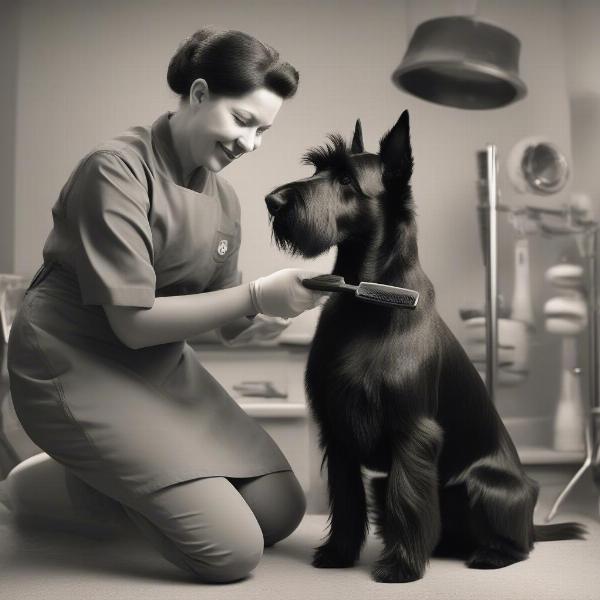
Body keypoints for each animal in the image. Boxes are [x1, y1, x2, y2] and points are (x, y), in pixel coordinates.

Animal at [268, 111, 584, 580]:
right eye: (317, 170)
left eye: (346, 179)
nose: (272, 200)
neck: (366, 300)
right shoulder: (337, 432)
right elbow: (346, 501)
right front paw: (339, 554)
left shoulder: (411, 432)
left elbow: (409, 503)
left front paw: (400, 567)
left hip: (487, 486)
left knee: (519, 543)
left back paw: (490, 554)